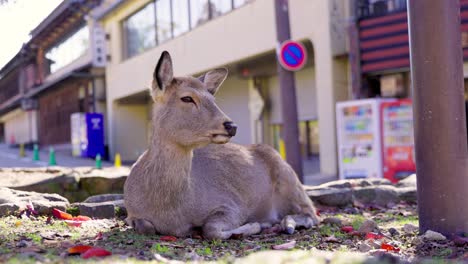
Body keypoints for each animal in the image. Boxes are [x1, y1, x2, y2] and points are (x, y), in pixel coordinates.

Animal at [123, 50, 322, 238]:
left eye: (213, 100)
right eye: (187, 98)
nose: (231, 126)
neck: (170, 211)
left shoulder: (232, 204)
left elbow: (210, 229)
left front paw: (254, 225)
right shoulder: (132, 213)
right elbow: (145, 227)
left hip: (289, 178)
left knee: (312, 213)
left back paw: (284, 224)